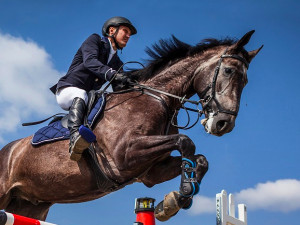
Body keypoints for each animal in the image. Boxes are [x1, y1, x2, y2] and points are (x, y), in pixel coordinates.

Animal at [0, 29, 262, 221]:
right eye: (228, 71)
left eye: (246, 81)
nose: (223, 124)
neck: (159, 99)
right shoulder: (124, 157)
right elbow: (185, 141)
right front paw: (184, 192)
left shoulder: (150, 171)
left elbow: (200, 159)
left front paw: (174, 201)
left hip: (29, 205)